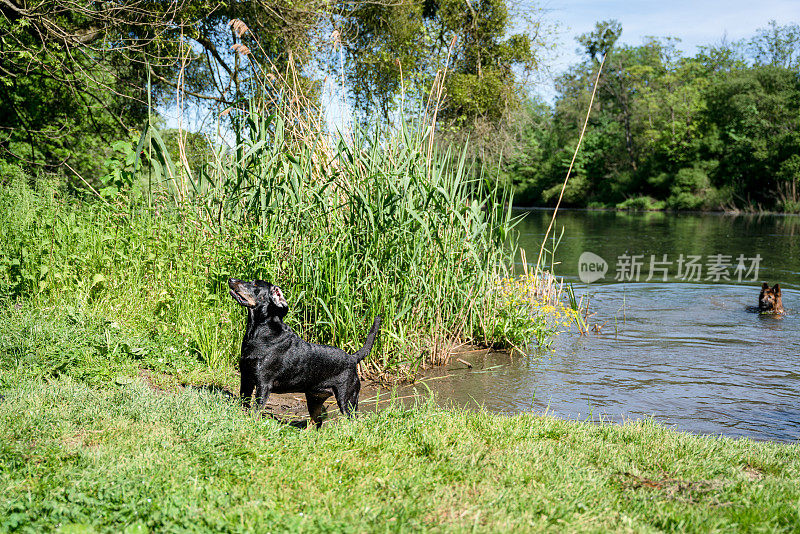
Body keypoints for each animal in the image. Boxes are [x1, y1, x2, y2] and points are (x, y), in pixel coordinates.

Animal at [228, 280, 382, 428]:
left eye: (254, 284)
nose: (231, 279)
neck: (258, 333)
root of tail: (352, 358)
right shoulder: (246, 377)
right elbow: (244, 402)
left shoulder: (263, 384)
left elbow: (256, 409)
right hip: (315, 398)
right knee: (317, 421)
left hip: (347, 399)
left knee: (352, 421)